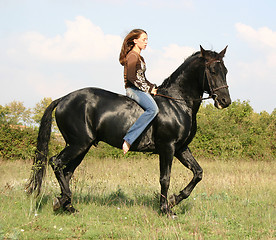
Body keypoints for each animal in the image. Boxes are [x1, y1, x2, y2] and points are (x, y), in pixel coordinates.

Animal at [27, 45, 231, 216]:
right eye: (212, 71)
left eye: (226, 71)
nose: (225, 101)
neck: (177, 103)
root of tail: (63, 99)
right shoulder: (167, 147)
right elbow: (165, 178)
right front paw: (166, 210)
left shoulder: (181, 148)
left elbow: (198, 173)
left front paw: (174, 200)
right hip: (78, 144)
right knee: (56, 162)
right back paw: (62, 200)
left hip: (81, 146)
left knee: (67, 172)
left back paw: (67, 205)